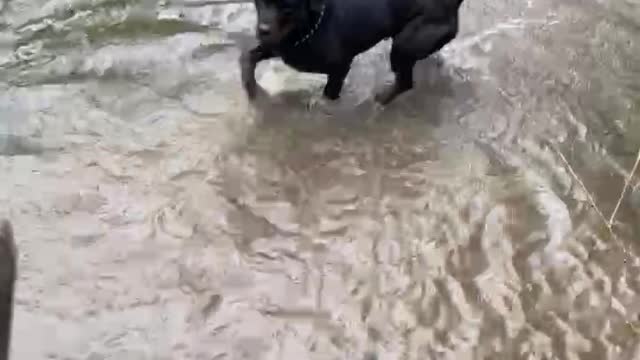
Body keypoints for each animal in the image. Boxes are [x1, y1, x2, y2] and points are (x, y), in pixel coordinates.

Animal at [240, 0, 464, 105]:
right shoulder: (279, 46)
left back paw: (379, 102)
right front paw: (252, 90)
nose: (263, 29)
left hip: (403, 44)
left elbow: (329, 93)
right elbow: (247, 57)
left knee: (405, 82)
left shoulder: (340, 67)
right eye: (261, 1)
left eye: (288, 6)